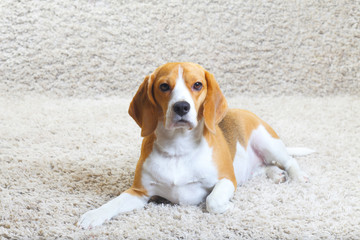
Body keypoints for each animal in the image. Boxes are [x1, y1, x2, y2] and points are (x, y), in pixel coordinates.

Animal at [79, 62, 312, 229]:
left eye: (197, 85)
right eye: (164, 86)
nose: (181, 106)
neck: (178, 148)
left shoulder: (227, 179)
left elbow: (213, 201)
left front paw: (230, 206)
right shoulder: (139, 192)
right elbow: (115, 202)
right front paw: (94, 214)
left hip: (267, 142)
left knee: (289, 160)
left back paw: (297, 176)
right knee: (264, 166)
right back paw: (275, 174)